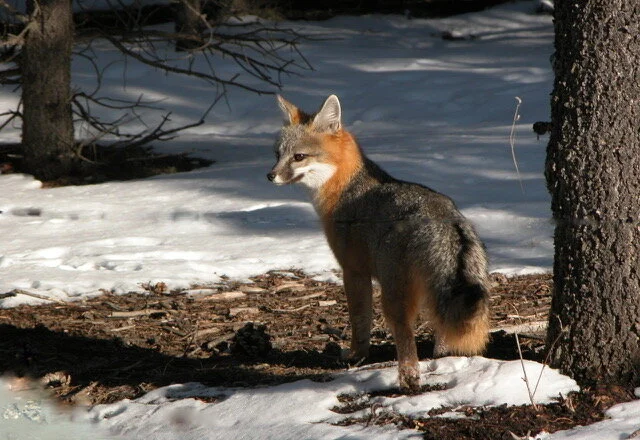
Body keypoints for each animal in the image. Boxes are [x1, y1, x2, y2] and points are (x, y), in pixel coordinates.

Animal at [267, 94, 490, 391]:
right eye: (277, 154)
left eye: (299, 156)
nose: (270, 176)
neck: (344, 188)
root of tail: (445, 218)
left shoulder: (353, 271)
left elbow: (359, 320)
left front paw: (356, 355)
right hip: (431, 292)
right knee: (442, 332)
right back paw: (444, 360)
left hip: (392, 295)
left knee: (405, 339)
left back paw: (408, 381)